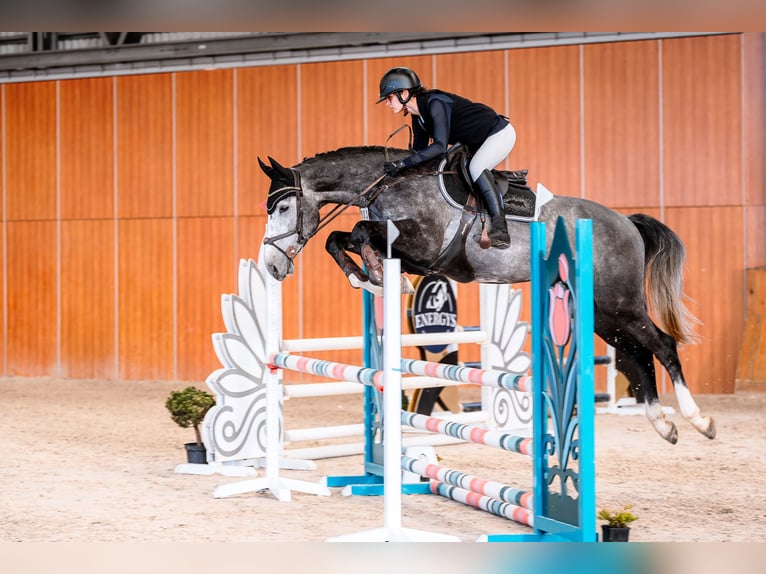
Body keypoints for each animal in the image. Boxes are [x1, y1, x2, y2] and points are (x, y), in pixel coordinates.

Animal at [258, 145, 716, 445]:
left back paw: (698, 420)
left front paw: (378, 276)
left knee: (662, 344)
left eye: (282, 209)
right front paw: (368, 278)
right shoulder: (413, 257)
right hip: (604, 312)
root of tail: (627, 222)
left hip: (621, 302)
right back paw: (664, 425)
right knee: (638, 353)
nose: (272, 267)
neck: (390, 185)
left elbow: (355, 231)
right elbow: (338, 238)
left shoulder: (423, 247)